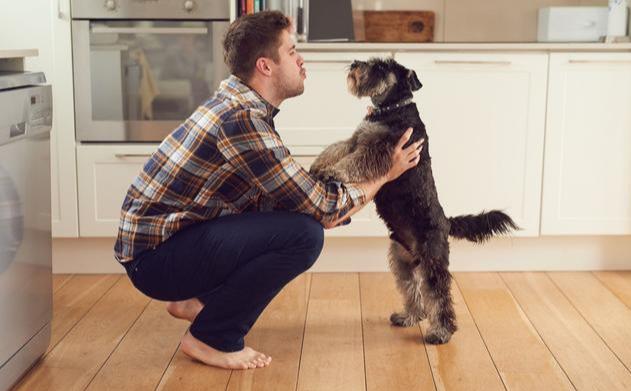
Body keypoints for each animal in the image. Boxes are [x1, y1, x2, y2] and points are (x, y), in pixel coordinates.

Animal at [308, 56, 520, 344]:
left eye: (381, 66)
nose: (353, 63)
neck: (391, 109)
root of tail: (446, 222)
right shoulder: (356, 140)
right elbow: (336, 148)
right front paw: (318, 166)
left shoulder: (379, 151)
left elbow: (353, 163)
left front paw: (332, 172)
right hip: (402, 262)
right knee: (414, 292)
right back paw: (408, 316)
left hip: (432, 262)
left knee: (440, 297)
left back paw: (441, 332)